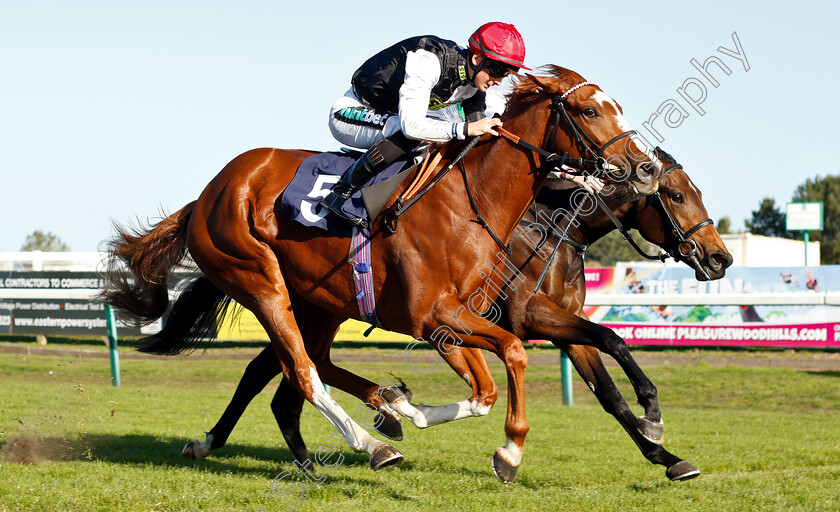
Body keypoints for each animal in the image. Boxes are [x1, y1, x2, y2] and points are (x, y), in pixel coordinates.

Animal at [101, 65, 664, 480]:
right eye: (589, 109)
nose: (647, 168)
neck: (472, 203)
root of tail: (209, 194)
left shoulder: (454, 319)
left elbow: (485, 387)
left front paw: (408, 408)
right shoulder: (432, 316)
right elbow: (513, 353)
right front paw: (509, 451)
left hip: (320, 299)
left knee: (305, 364)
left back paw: (369, 418)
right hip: (259, 281)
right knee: (302, 371)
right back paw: (371, 443)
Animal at [180, 150, 732, 482]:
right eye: (677, 195)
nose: (719, 257)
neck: (554, 229)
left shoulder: (562, 327)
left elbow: (610, 390)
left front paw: (665, 454)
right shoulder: (532, 317)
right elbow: (610, 340)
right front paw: (654, 421)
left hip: (321, 306)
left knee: (282, 370)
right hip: (287, 296)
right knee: (293, 368)